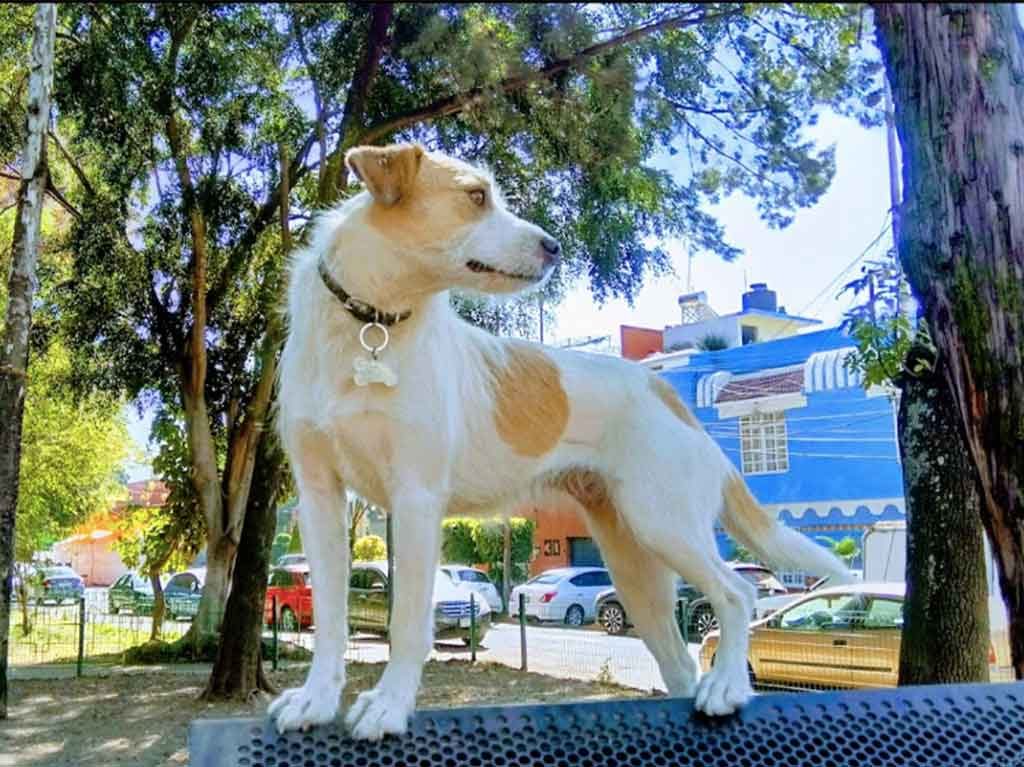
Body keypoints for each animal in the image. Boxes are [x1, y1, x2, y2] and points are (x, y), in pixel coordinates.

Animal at [268, 142, 851, 737]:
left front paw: (388, 706)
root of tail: (664, 390)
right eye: (475, 196)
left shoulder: (416, 497)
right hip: (637, 571)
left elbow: (408, 621)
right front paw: (316, 699)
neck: (369, 323)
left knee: (737, 594)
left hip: (665, 524)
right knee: (682, 659)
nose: (555, 247)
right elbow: (331, 622)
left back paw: (728, 686)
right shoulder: (320, 500)